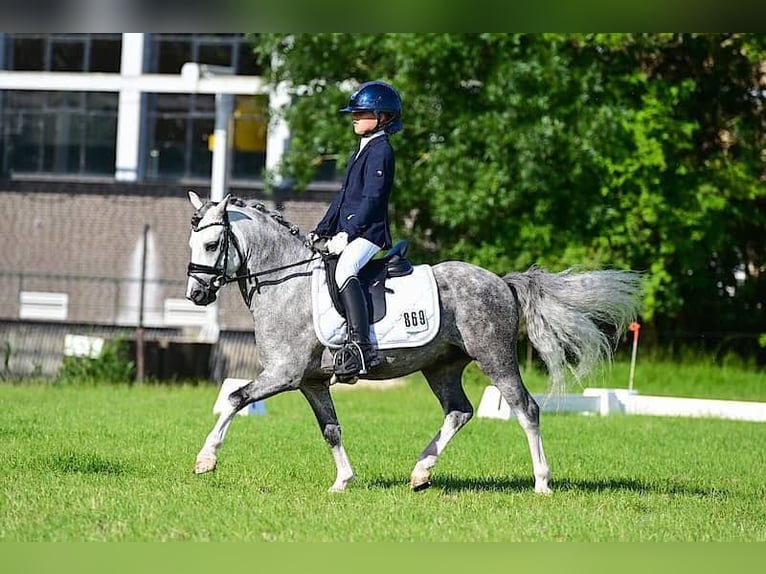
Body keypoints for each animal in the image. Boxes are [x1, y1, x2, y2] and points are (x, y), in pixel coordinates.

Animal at [185, 191, 642, 493]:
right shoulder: (311, 381)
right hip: (441, 366)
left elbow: (235, 398)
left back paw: (542, 483)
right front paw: (343, 481)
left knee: (525, 409)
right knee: (459, 411)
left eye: (212, 244)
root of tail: (501, 282)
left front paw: (206, 459)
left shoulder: (285, 373)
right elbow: (330, 429)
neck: (286, 281)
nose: (197, 295)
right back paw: (421, 472)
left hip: (494, 357)